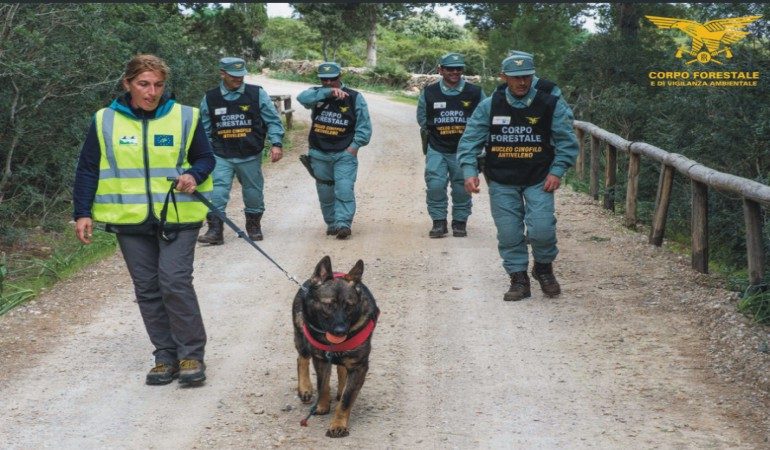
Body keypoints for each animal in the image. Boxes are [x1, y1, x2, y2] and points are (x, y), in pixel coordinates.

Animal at [292, 256, 378, 436]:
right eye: (329, 305)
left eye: (349, 306)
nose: (340, 331)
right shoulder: (321, 359)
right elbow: (322, 384)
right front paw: (322, 405)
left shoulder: (358, 367)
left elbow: (346, 398)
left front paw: (338, 423)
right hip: (301, 332)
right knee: (302, 358)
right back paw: (305, 388)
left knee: (341, 369)